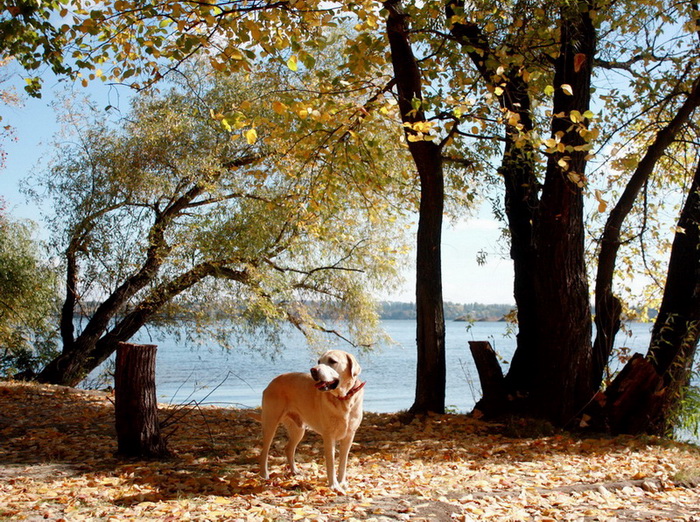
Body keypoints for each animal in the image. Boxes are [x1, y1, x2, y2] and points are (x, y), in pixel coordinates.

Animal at [256, 348, 366, 490]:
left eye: (332, 361)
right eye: (319, 361)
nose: (313, 370)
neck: (344, 399)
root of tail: (272, 381)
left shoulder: (349, 435)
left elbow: (343, 462)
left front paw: (342, 483)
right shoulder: (329, 436)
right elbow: (331, 463)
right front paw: (334, 486)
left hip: (298, 429)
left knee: (288, 448)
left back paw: (294, 471)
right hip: (271, 423)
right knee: (264, 451)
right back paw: (264, 475)